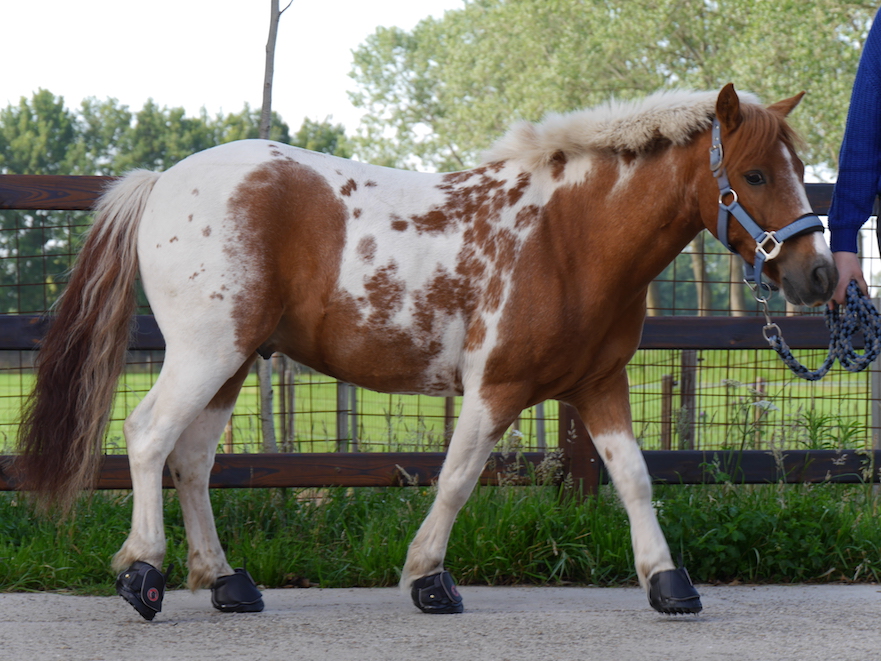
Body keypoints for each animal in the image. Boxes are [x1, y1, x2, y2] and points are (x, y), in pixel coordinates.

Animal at [18, 84, 832, 620]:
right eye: (755, 173)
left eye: (797, 168)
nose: (818, 276)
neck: (567, 236)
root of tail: (162, 182)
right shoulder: (497, 386)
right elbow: (458, 478)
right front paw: (427, 577)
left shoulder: (600, 384)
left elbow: (633, 478)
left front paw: (667, 581)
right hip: (205, 354)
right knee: (149, 436)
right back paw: (141, 573)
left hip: (234, 361)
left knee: (191, 460)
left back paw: (225, 581)